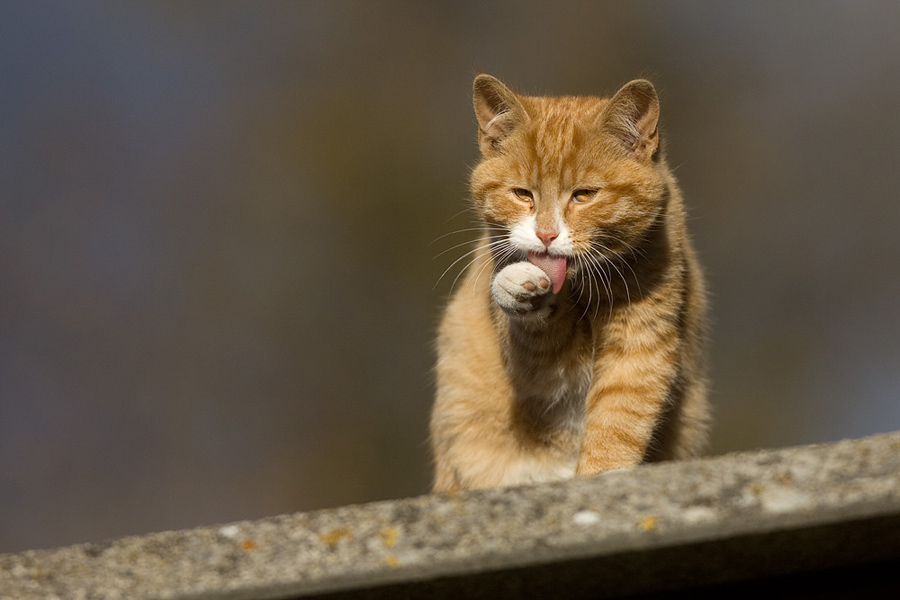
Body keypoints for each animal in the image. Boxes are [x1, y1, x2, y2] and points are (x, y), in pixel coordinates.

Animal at [430, 74, 712, 492]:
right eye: (522, 194)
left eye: (583, 195)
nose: (546, 235)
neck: (586, 292)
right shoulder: (540, 370)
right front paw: (517, 285)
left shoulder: (642, 343)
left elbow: (618, 423)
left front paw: (602, 476)